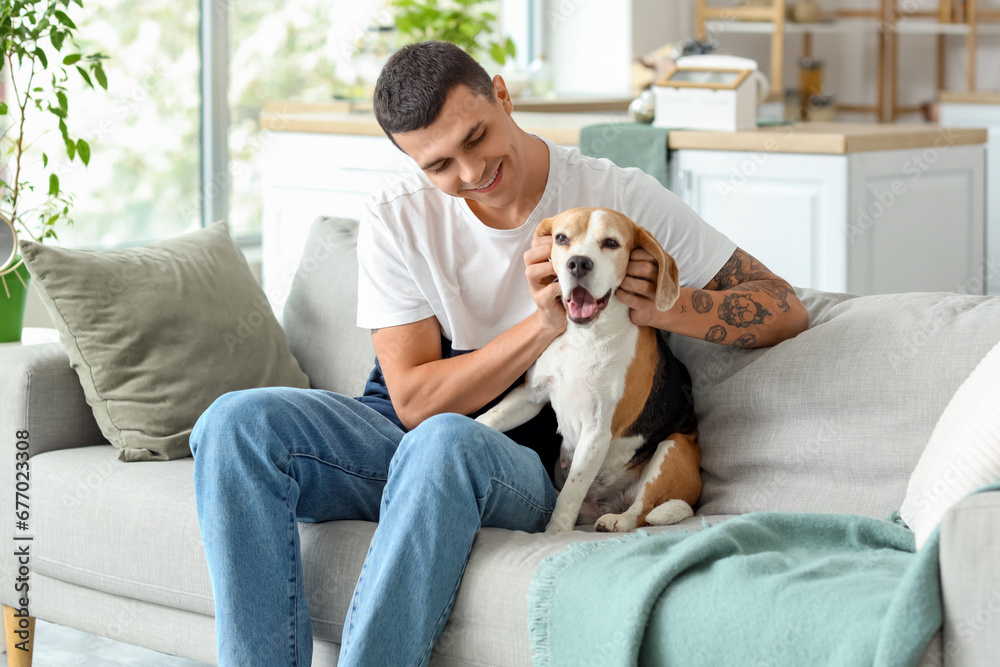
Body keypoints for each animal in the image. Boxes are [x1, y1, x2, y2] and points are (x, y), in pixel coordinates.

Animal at [478, 206, 700, 536]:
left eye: (611, 243)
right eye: (561, 238)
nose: (578, 263)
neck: (585, 337)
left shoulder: (596, 431)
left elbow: (570, 494)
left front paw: (554, 533)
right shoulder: (530, 395)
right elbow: (488, 419)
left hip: (674, 449)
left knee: (642, 511)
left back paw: (617, 521)